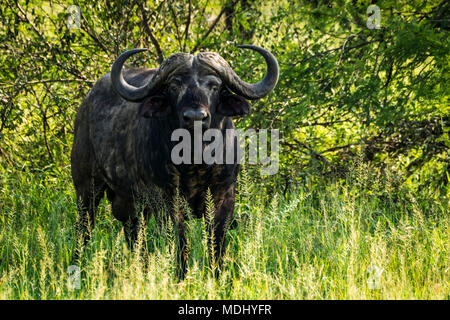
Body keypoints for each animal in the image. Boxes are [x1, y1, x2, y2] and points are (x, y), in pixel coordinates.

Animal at [71, 45, 278, 278]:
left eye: (214, 86)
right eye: (174, 85)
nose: (195, 116)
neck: (195, 158)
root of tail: (85, 106)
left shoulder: (225, 194)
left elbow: (216, 242)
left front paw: (216, 277)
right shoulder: (166, 199)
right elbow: (180, 243)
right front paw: (180, 277)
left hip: (134, 204)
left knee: (135, 236)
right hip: (87, 188)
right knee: (84, 230)